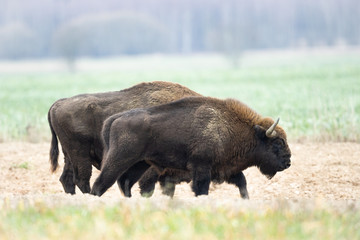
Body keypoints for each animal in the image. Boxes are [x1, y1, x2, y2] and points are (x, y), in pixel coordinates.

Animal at [91, 95, 292, 197]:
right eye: (277, 142)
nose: (288, 162)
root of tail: (114, 119)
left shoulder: (225, 168)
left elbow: (242, 183)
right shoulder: (202, 166)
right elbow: (201, 188)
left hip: (140, 164)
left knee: (125, 182)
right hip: (120, 159)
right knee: (102, 182)